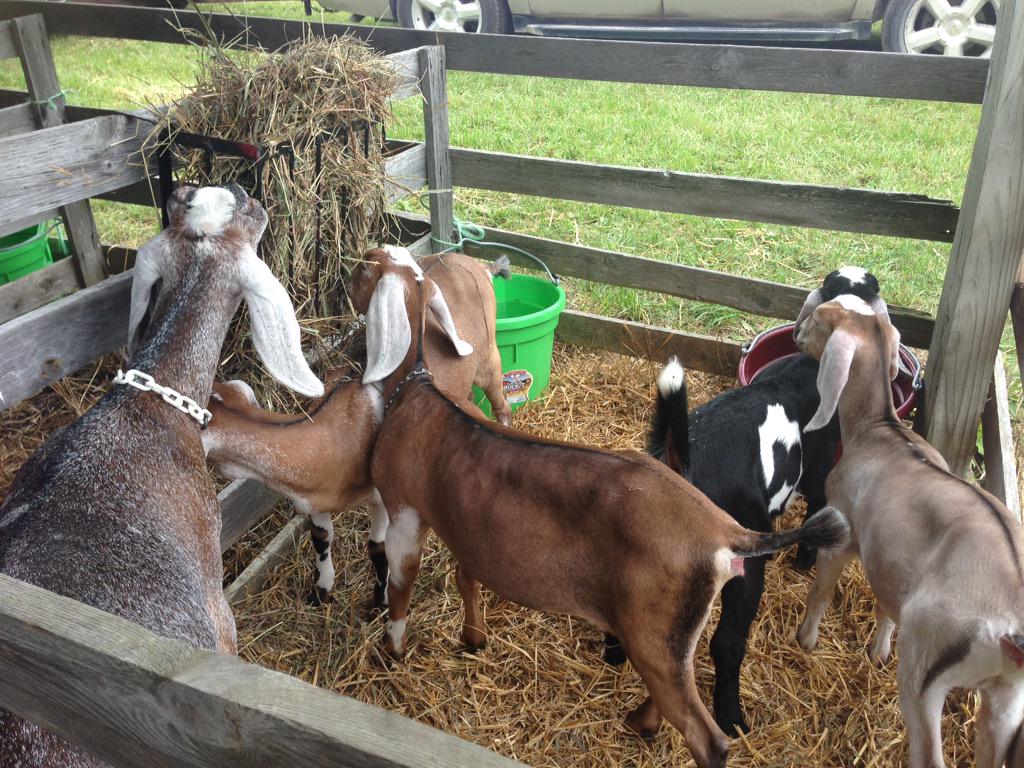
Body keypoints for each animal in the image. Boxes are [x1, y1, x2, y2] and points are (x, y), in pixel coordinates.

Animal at [202, 246, 510, 605]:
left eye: (366, 266)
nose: (346, 279)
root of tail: (472, 261)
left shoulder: (382, 498)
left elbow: (377, 547)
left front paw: (380, 600)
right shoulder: (313, 501)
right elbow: (320, 537)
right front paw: (321, 590)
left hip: (490, 360)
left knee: (502, 404)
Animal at [361, 255, 850, 768]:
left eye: (365, 270)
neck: (421, 391)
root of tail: (725, 530)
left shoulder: (404, 512)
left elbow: (401, 586)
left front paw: (390, 651)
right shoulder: (465, 526)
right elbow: (466, 577)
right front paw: (473, 639)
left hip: (654, 633)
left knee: (708, 738)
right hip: (672, 633)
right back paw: (642, 721)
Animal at [794, 292, 1024, 768]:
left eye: (823, 319)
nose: (795, 335)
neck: (879, 429)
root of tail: (1013, 627)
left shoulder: (842, 530)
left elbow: (821, 591)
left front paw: (805, 640)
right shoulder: (895, 562)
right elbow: (885, 608)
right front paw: (877, 653)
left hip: (925, 665)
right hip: (1007, 698)